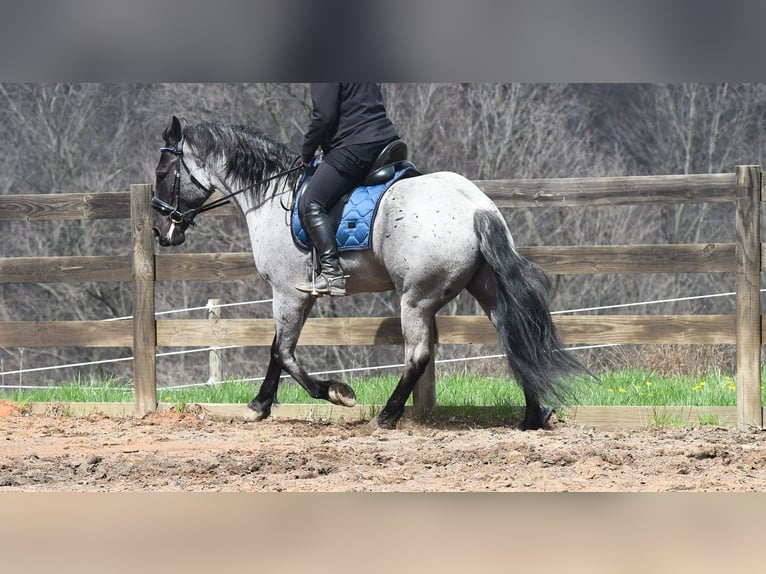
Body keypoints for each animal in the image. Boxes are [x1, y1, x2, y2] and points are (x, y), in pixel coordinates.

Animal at [151, 115, 584, 430]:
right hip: (486, 287)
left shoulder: (287, 292)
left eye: (162, 172)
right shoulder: (299, 294)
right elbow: (278, 350)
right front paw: (259, 405)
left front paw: (336, 392)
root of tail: (476, 207)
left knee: (418, 356)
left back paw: (387, 415)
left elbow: (284, 353)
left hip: (417, 298)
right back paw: (532, 417)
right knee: (514, 337)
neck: (273, 196)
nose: (160, 231)